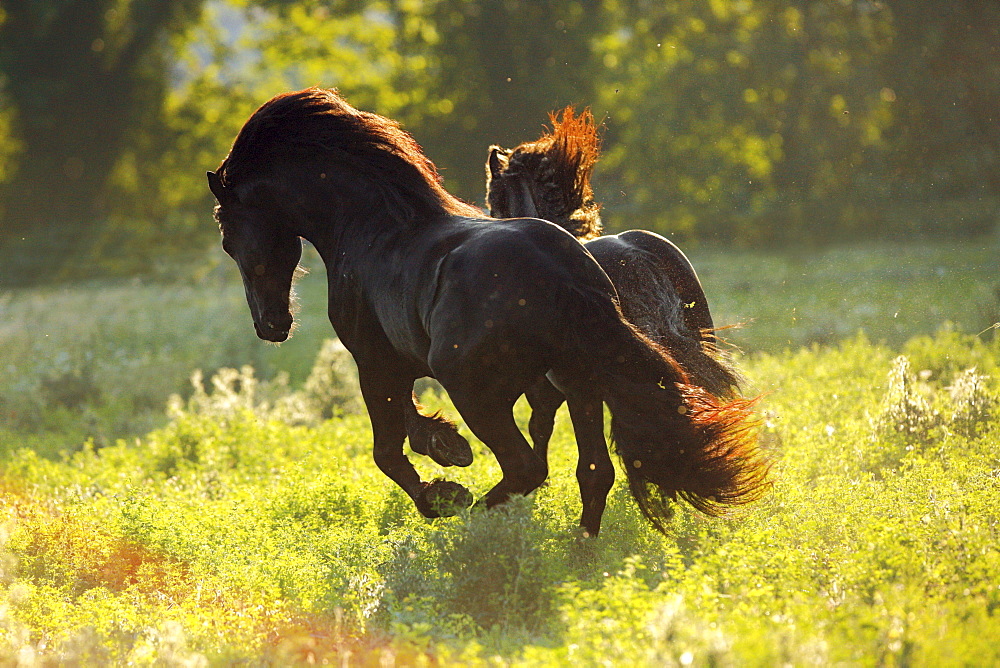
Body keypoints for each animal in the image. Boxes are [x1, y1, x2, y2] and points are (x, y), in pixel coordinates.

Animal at [205, 90, 764, 536]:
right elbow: (411, 424)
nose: (270, 326)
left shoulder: (376, 363)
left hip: (478, 391)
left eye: (229, 237)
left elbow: (389, 450)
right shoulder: (403, 364)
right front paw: (446, 447)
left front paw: (445, 484)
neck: (371, 227)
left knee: (526, 468)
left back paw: (473, 519)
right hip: (579, 382)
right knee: (593, 471)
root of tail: (563, 270)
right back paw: (579, 550)